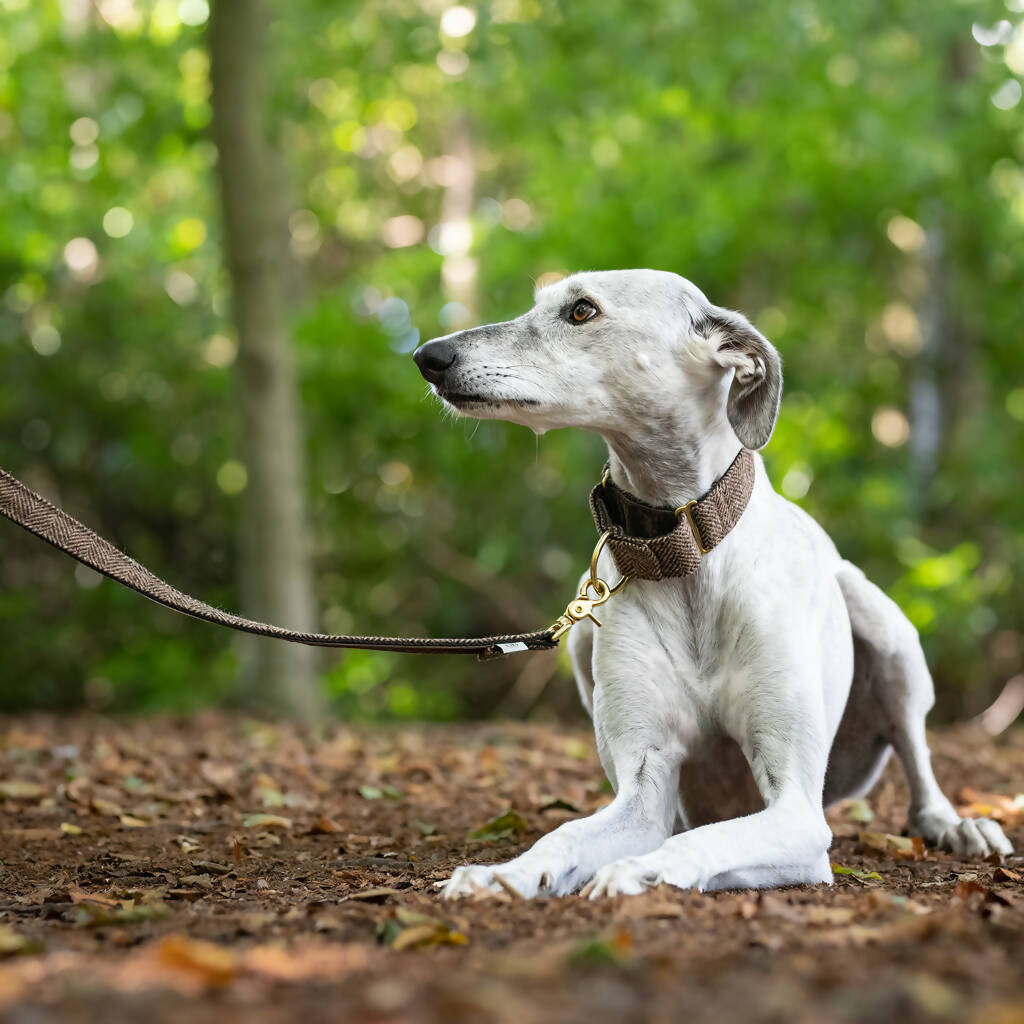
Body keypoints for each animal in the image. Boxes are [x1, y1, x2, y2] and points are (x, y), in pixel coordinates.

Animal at [411, 270, 1011, 897]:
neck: (683, 552)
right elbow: (570, 834)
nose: (428, 356)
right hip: (583, 644)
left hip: (886, 631)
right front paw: (503, 874)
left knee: (916, 761)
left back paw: (959, 824)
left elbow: (697, 843)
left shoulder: (798, 811)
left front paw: (641, 871)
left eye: (581, 310)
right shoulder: (644, 791)